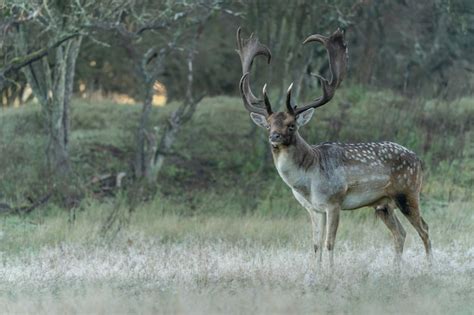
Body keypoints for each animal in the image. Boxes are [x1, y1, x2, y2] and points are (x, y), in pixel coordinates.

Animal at [235, 28, 432, 268]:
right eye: (269, 124)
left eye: (291, 125)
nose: (275, 136)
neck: (307, 183)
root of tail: (419, 160)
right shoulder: (312, 208)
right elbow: (316, 245)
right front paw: (316, 273)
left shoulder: (334, 201)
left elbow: (330, 243)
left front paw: (330, 273)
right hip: (383, 205)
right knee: (400, 233)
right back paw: (397, 271)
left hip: (408, 192)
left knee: (424, 229)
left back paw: (429, 268)